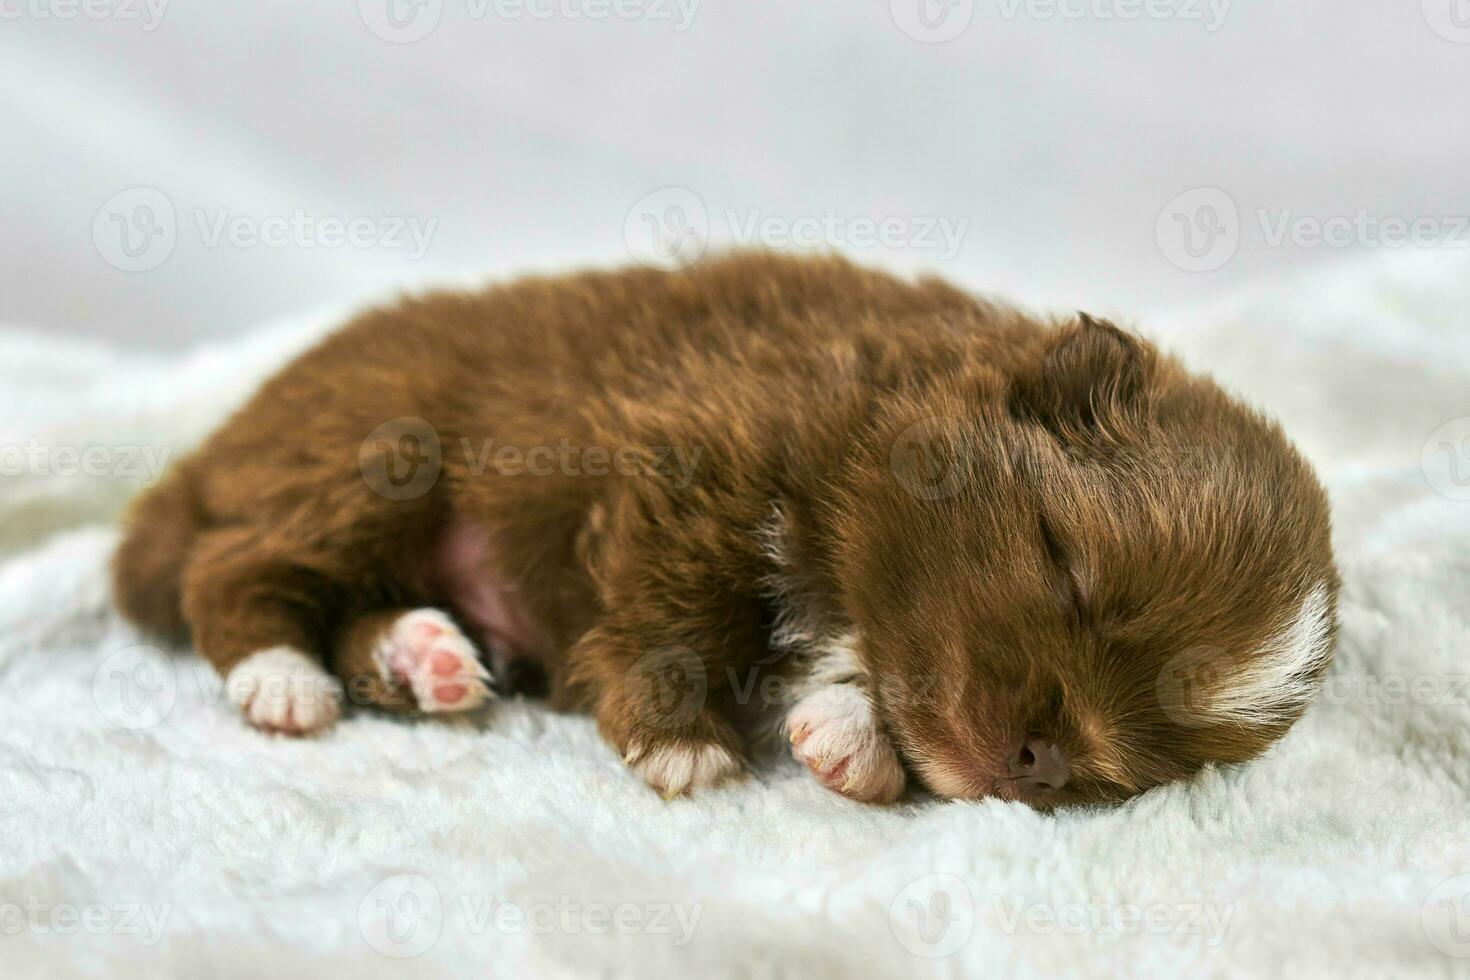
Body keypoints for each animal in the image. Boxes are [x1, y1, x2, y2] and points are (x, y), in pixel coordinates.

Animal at [108, 252, 1340, 811]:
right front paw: (682, 742)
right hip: (377, 455)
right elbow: (678, 613)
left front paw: (851, 735)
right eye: (1067, 566)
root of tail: (214, 449)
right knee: (230, 570)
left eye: (1139, 757)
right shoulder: (694, 461)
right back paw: (281, 677)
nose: (1036, 759)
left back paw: (429, 655)